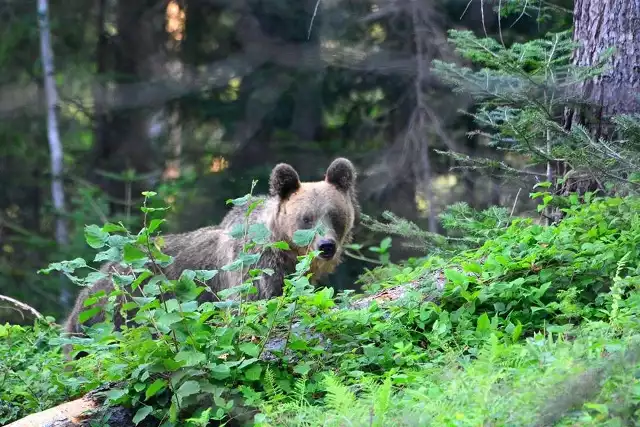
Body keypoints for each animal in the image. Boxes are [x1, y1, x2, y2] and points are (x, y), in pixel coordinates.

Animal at [61, 159, 360, 360]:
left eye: (334, 214)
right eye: (306, 218)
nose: (326, 246)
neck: (285, 250)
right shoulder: (254, 270)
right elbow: (256, 308)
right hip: (116, 315)